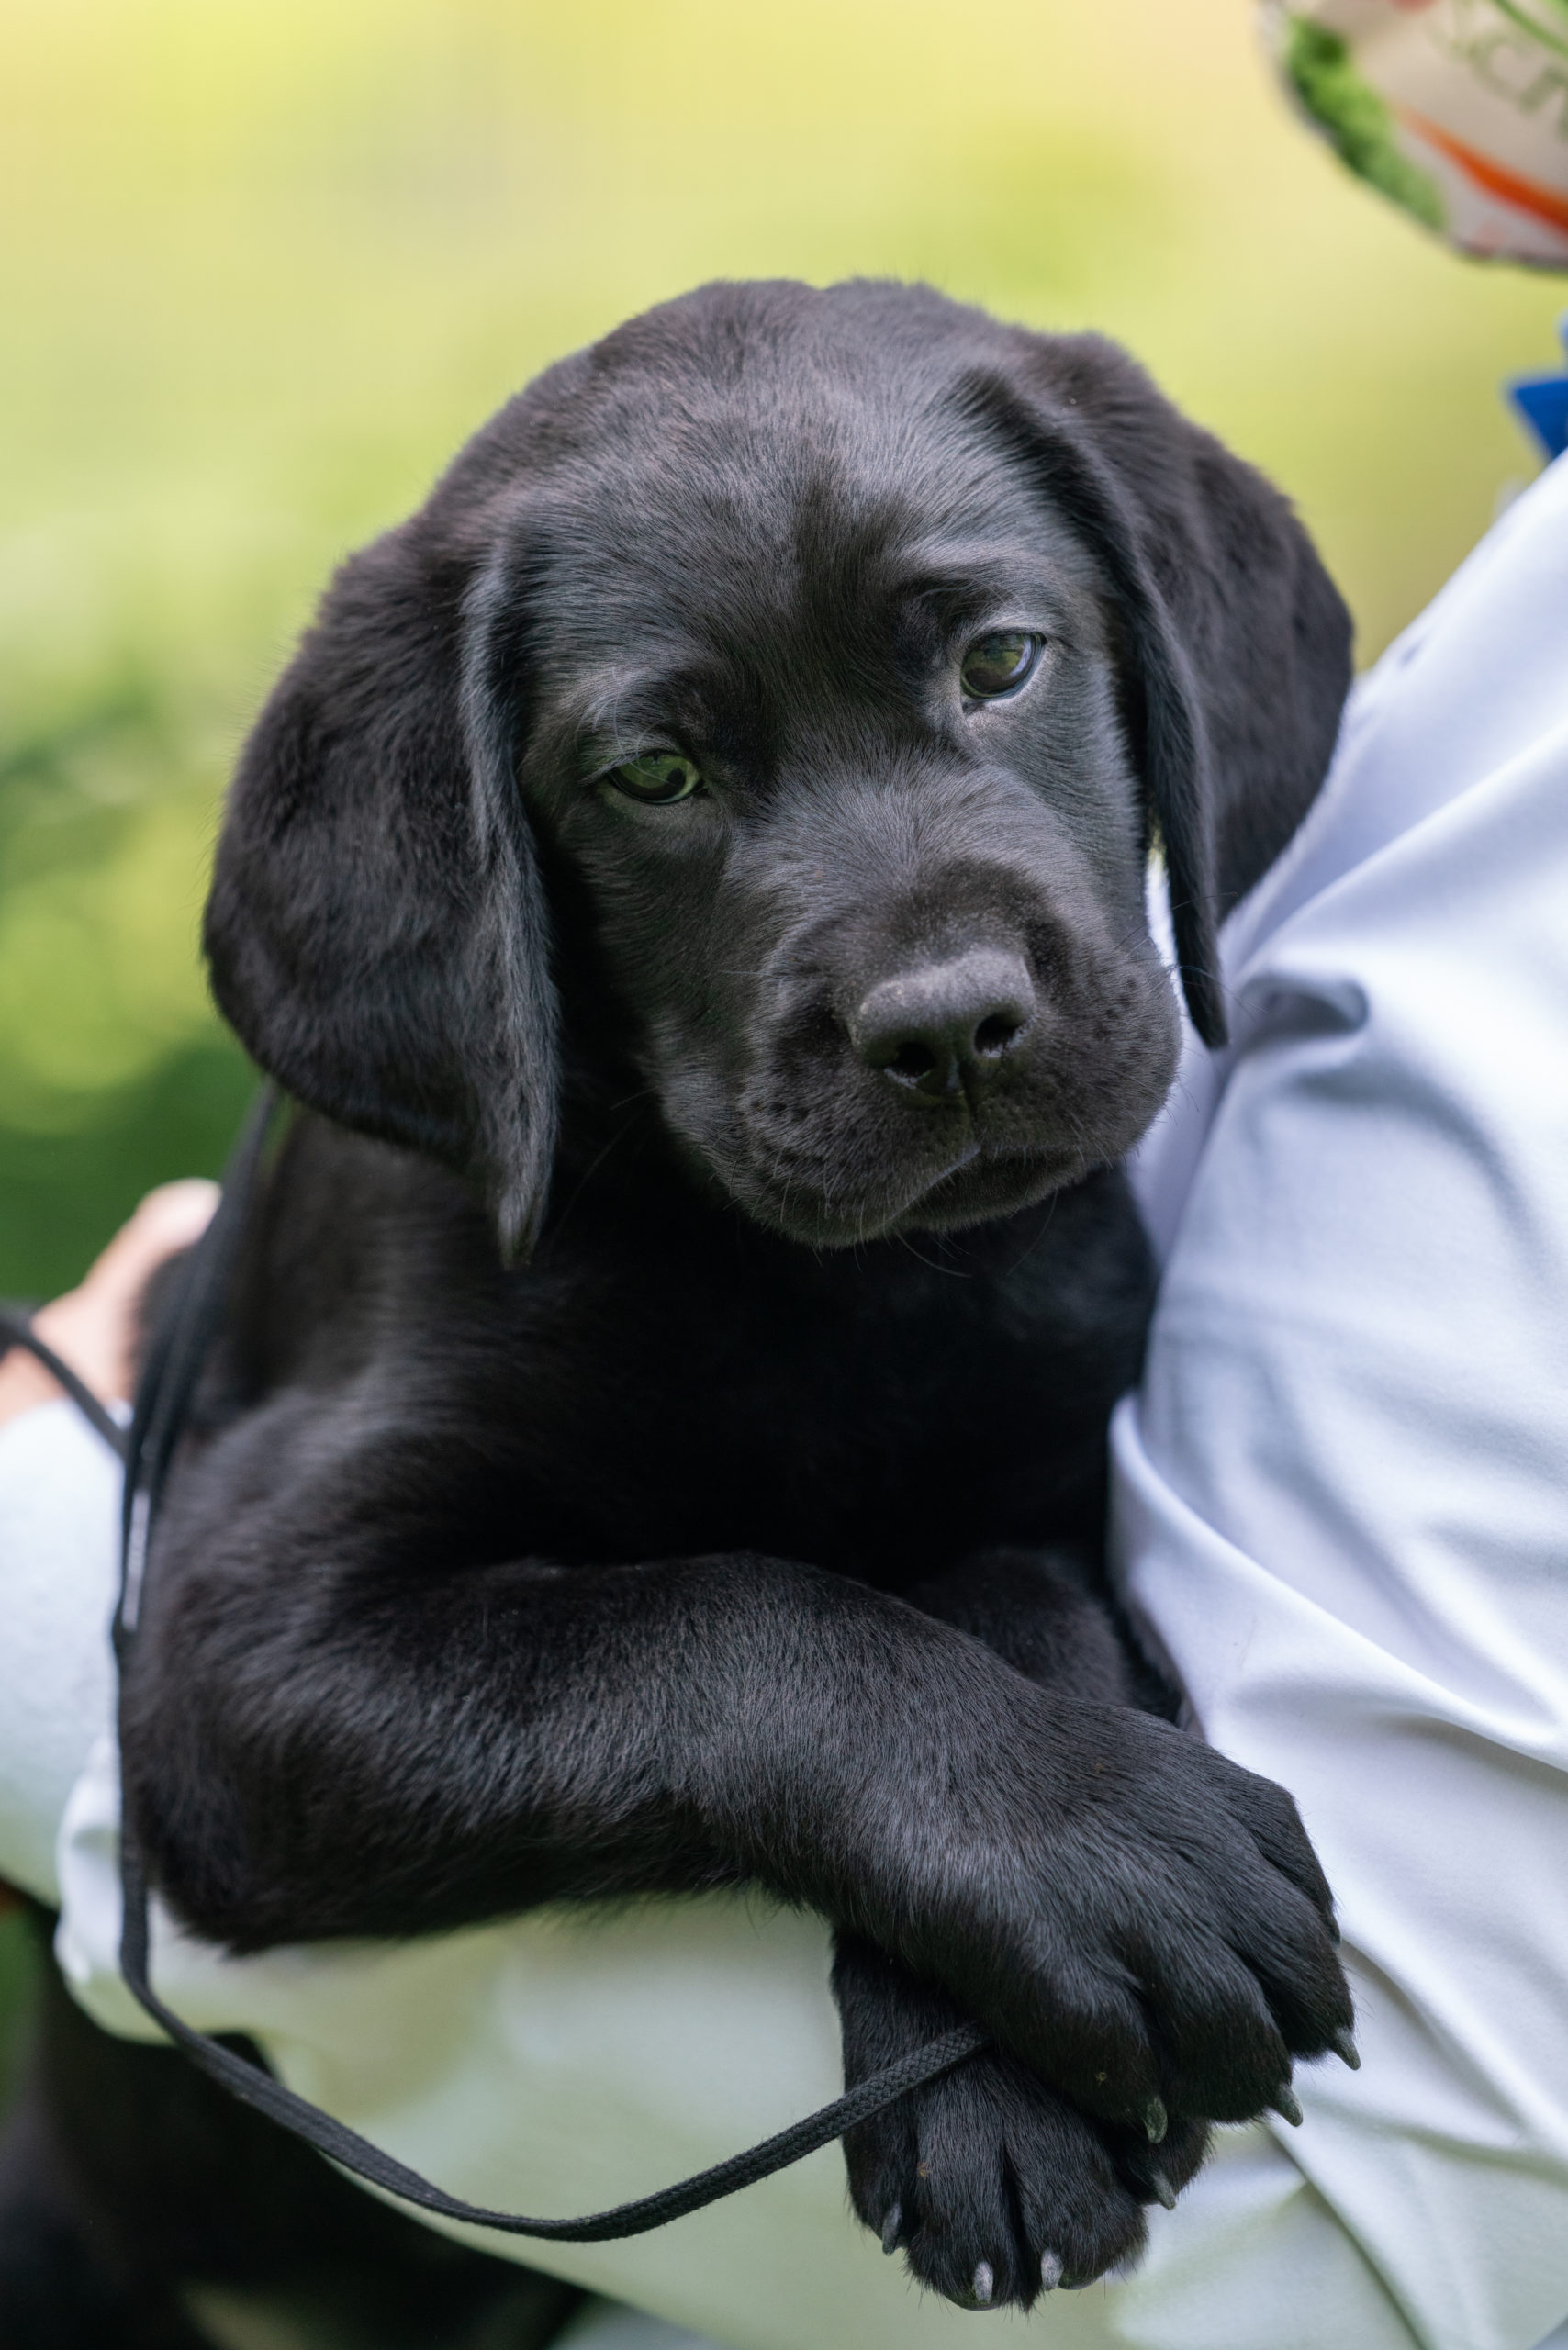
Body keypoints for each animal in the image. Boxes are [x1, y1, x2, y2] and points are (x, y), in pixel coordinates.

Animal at [9, 274, 1363, 2331]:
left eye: (997, 660)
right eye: (653, 775)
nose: (946, 1027)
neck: (832, 1286)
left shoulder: (1059, 1468)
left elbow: (1004, 1597)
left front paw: (991, 2073)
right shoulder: (227, 1653)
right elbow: (731, 1621)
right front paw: (1101, 1870)